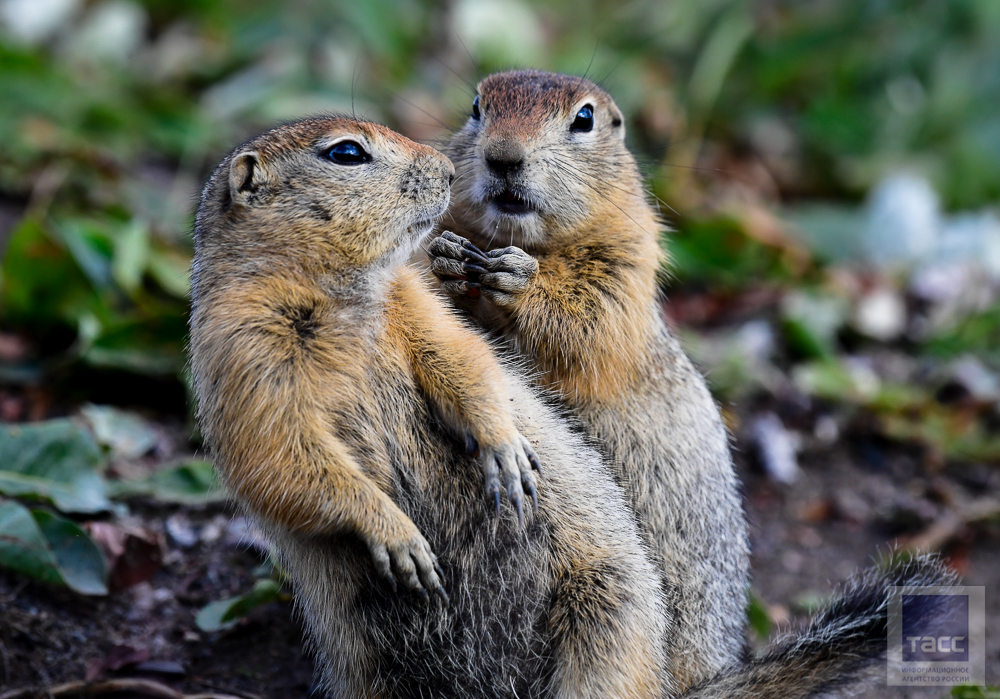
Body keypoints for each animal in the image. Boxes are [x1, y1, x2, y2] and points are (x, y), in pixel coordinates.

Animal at [187, 116, 672, 699]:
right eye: (346, 153)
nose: (447, 170)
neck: (336, 291)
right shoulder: (240, 355)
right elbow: (278, 454)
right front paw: (399, 538)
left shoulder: (413, 300)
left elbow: (460, 356)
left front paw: (506, 453)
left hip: (609, 603)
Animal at [430, 69, 752, 688]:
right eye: (477, 107)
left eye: (584, 119)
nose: (503, 156)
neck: (524, 241)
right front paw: (446, 260)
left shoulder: (627, 260)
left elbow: (589, 317)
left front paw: (519, 281)